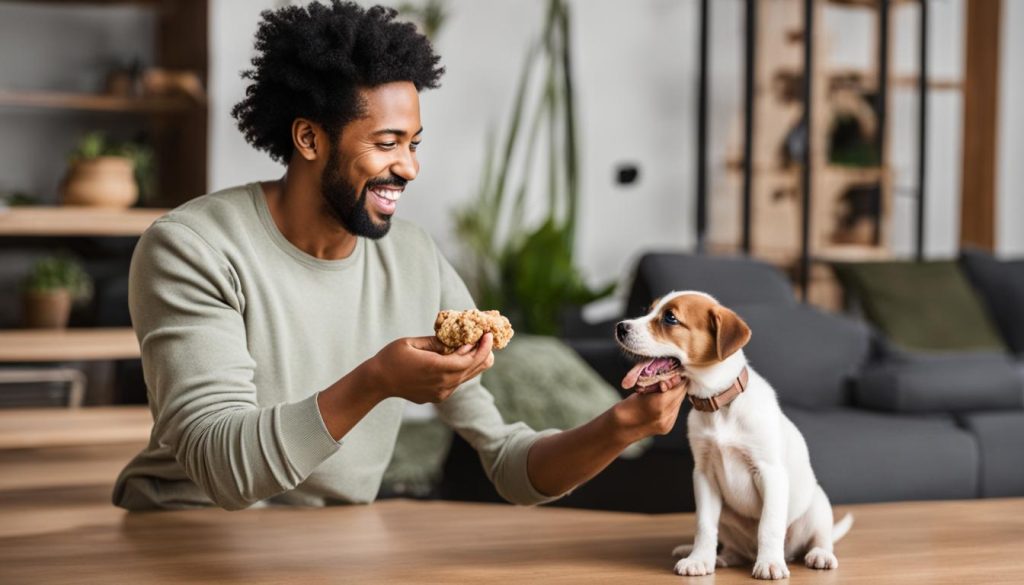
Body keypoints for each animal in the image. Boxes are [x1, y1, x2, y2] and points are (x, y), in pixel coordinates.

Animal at [614, 290, 856, 577]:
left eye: (670, 318)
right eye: (648, 310)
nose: (620, 327)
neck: (719, 407)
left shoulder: (770, 472)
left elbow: (769, 525)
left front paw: (770, 563)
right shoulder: (704, 475)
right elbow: (704, 526)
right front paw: (700, 559)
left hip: (816, 506)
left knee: (820, 537)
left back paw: (818, 555)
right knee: (733, 547)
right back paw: (719, 556)